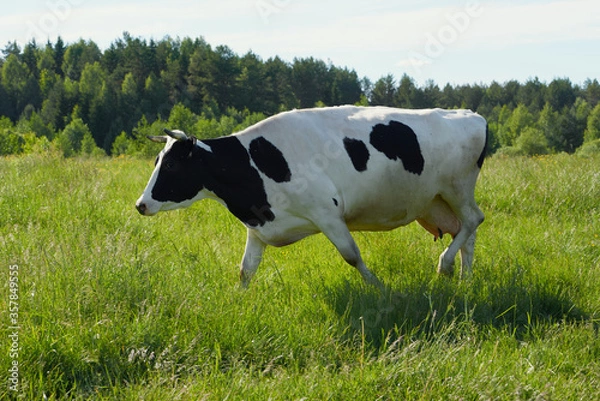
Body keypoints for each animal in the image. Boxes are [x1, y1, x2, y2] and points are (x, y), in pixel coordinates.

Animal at [136, 105, 488, 288]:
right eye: (156, 161)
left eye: (170, 165)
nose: (140, 205)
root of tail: (471, 114)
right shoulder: (258, 227)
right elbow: (245, 269)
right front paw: (238, 299)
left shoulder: (327, 214)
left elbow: (352, 255)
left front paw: (379, 287)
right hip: (439, 201)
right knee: (466, 233)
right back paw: (466, 280)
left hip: (457, 187)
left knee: (475, 219)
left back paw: (445, 266)